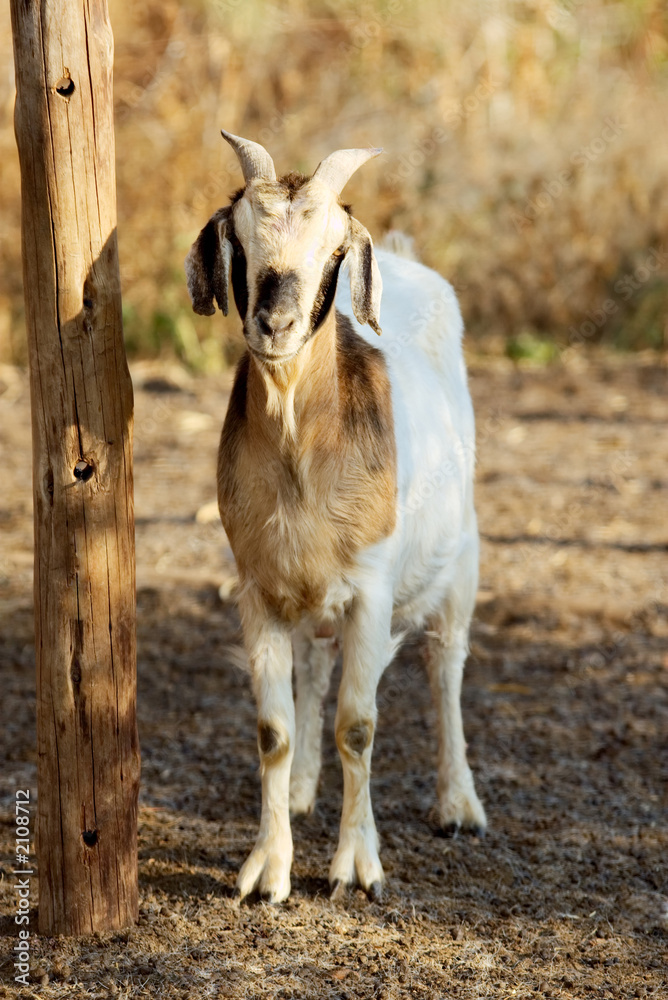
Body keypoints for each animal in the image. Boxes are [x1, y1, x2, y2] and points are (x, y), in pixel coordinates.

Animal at [185, 131, 486, 903]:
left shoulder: (371, 591)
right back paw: (300, 791)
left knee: (447, 666)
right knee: (317, 665)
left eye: (333, 250)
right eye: (240, 238)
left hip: (461, 561)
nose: (275, 324)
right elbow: (274, 728)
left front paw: (357, 867)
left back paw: (458, 804)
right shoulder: (258, 587)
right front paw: (267, 870)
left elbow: (359, 724)